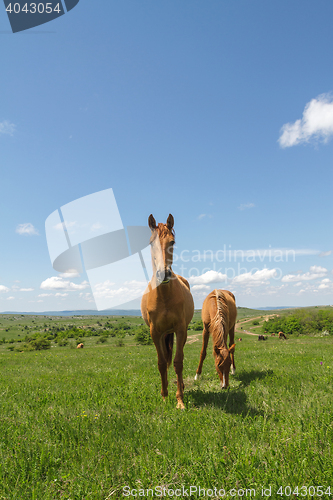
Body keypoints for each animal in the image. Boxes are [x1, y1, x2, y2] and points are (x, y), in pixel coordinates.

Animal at [141, 213, 195, 408]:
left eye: (172, 242)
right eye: (151, 243)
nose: (163, 273)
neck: (164, 295)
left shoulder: (180, 329)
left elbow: (178, 362)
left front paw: (180, 400)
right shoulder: (155, 333)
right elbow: (162, 363)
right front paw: (164, 396)